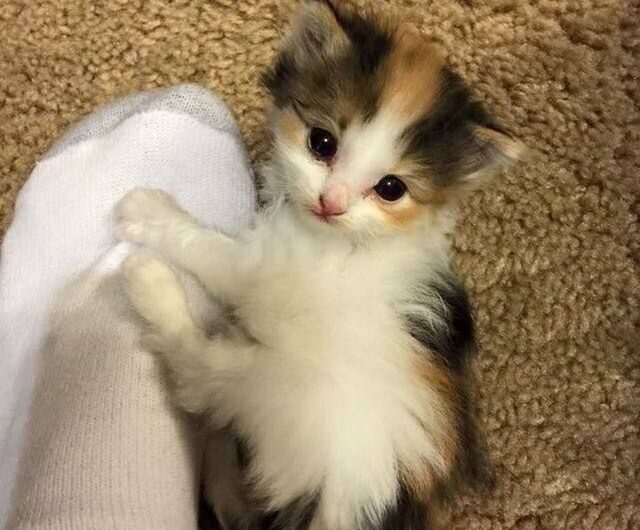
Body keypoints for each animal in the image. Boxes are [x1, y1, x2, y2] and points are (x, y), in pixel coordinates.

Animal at [117, 1, 524, 528]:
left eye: (391, 188)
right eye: (322, 143)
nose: (332, 202)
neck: (351, 238)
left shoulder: (261, 268)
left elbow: (209, 248)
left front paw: (149, 214)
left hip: (270, 383)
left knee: (196, 377)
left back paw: (150, 285)